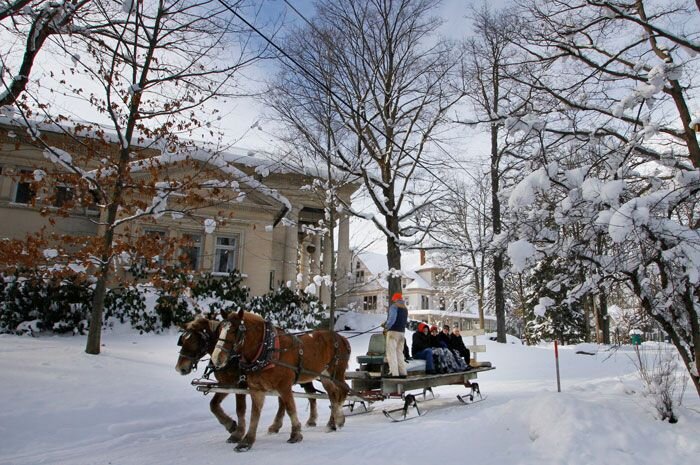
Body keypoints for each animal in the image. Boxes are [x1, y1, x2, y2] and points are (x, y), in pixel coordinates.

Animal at [174, 314, 320, 440]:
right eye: (183, 340)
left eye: (195, 340)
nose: (180, 368)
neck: (233, 357)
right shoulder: (227, 384)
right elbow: (213, 405)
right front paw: (230, 425)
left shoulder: (240, 385)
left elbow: (240, 408)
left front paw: (237, 432)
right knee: (290, 399)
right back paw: (277, 425)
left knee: (310, 395)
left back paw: (310, 420)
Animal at [208, 308, 350, 450]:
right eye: (220, 330)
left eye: (234, 331)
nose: (216, 358)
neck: (267, 350)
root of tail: (342, 338)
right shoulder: (256, 389)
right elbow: (254, 414)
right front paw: (247, 441)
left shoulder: (284, 386)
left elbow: (290, 408)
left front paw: (295, 434)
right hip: (325, 376)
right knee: (333, 395)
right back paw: (332, 423)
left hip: (336, 374)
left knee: (344, 390)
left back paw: (338, 418)